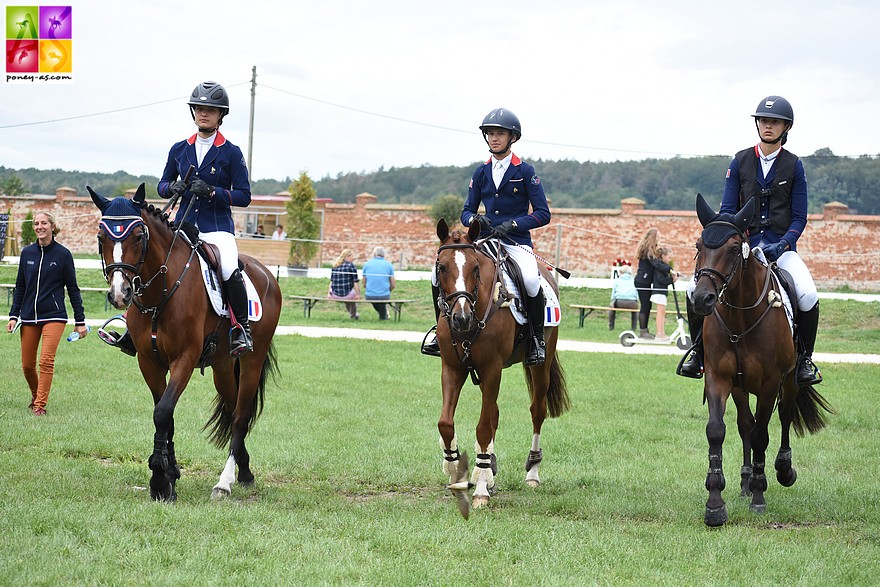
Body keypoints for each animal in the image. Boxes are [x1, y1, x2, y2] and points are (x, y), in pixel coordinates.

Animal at [89, 186, 282, 504]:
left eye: (138, 237)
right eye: (101, 237)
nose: (120, 294)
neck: (162, 290)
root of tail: (266, 273)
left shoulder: (185, 358)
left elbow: (163, 412)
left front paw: (159, 479)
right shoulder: (149, 361)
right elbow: (164, 416)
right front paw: (170, 476)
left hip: (252, 360)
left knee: (240, 417)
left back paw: (224, 482)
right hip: (222, 365)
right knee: (232, 410)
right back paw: (244, 472)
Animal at [434, 219, 572, 520]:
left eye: (475, 268)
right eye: (441, 267)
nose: (460, 319)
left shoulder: (492, 369)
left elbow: (483, 427)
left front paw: (480, 491)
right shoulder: (452, 368)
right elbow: (446, 423)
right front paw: (455, 470)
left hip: (540, 365)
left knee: (537, 411)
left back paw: (531, 473)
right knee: (495, 413)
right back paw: (488, 470)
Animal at [696, 194, 832, 528]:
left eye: (734, 248)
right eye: (698, 245)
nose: (702, 299)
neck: (741, 316)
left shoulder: (771, 383)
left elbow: (762, 435)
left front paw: (759, 496)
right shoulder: (719, 378)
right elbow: (717, 431)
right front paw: (715, 503)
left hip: (789, 382)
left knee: (783, 417)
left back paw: (782, 471)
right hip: (740, 387)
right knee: (745, 424)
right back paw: (745, 482)